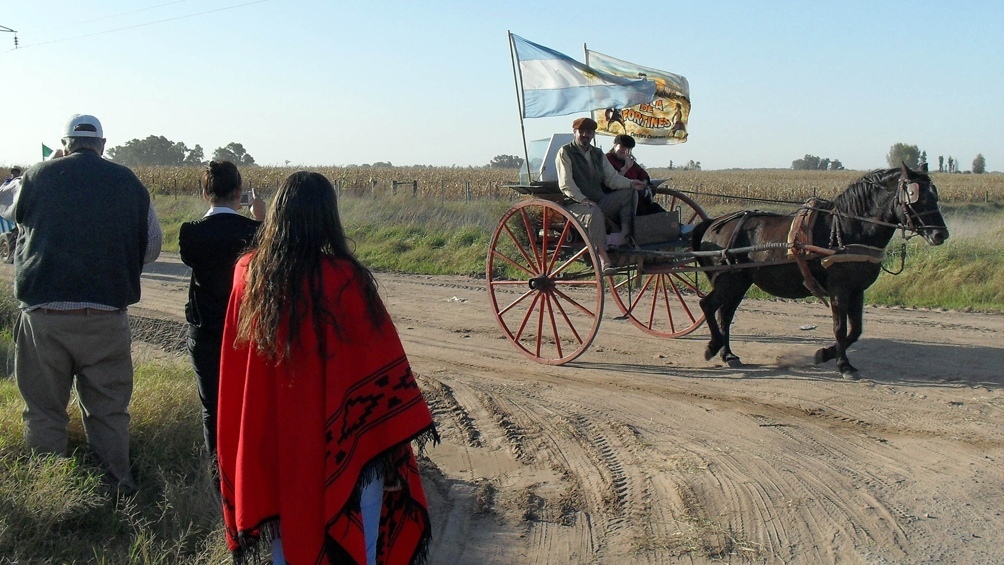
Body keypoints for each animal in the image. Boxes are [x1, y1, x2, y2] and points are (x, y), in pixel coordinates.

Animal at [690, 164, 947, 375]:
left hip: (740, 282)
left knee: (725, 314)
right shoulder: (839, 289)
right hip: (728, 280)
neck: (848, 228)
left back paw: (728, 354)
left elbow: (856, 330)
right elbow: (840, 328)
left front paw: (825, 354)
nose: (940, 234)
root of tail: (713, 223)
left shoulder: (857, 290)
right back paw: (714, 346)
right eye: (915, 196)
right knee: (708, 305)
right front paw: (844, 365)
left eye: (934, 195)